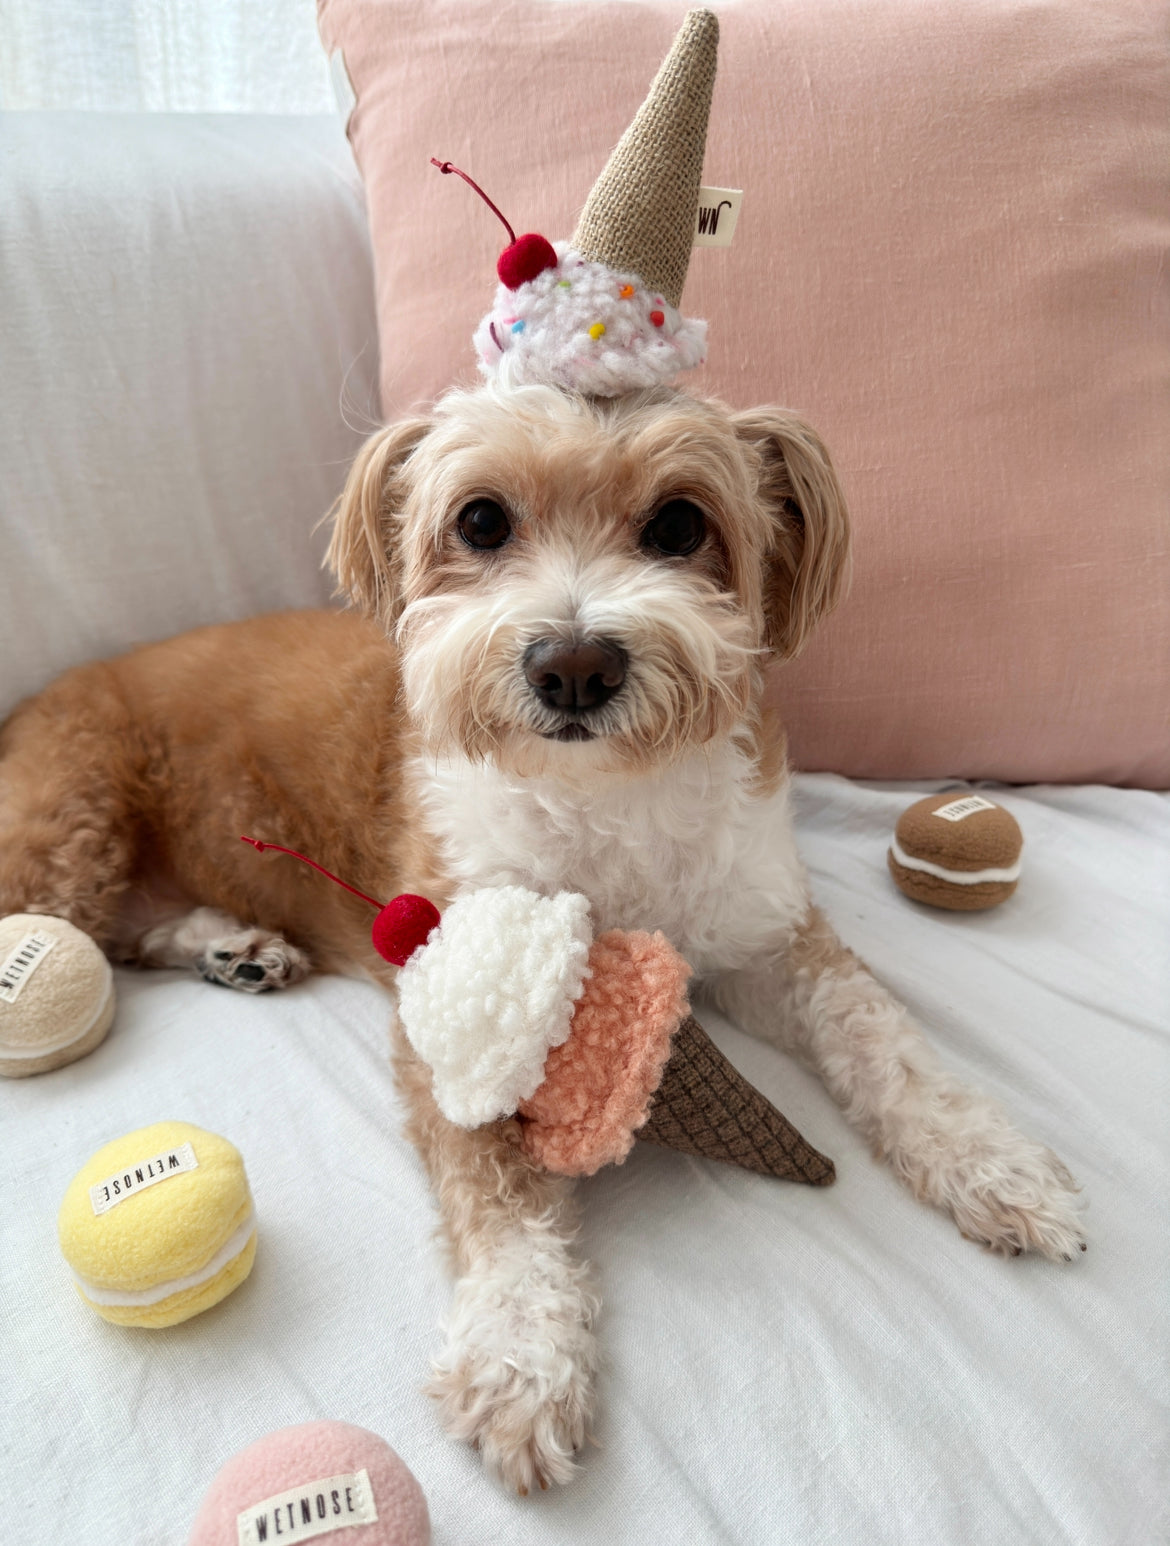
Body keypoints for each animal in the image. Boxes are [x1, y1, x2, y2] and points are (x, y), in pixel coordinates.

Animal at [0, 380, 1081, 1490]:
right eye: (481, 520)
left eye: (680, 524)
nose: (574, 664)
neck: (604, 804)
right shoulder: (451, 996)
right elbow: (500, 1193)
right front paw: (521, 1352)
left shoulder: (770, 935)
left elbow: (882, 1036)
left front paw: (988, 1157)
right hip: (70, 827)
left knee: (131, 940)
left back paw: (231, 944)